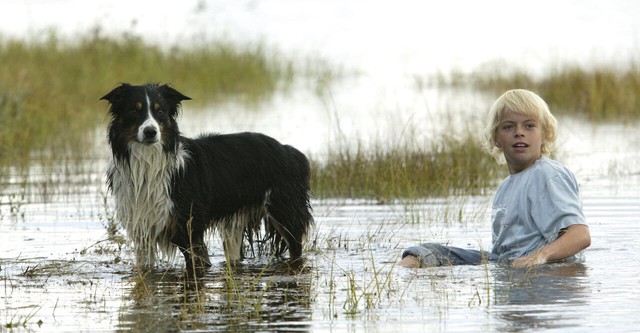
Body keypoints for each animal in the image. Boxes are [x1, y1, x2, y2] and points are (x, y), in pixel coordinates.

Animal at [100, 82, 316, 272]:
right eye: (134, 110)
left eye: (160, 111)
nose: (151, 132)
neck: (148, 160)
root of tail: (289, 150)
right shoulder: (143, 232)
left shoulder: (190, 230)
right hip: (235, 223)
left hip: (285, 213)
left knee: (296, 250)